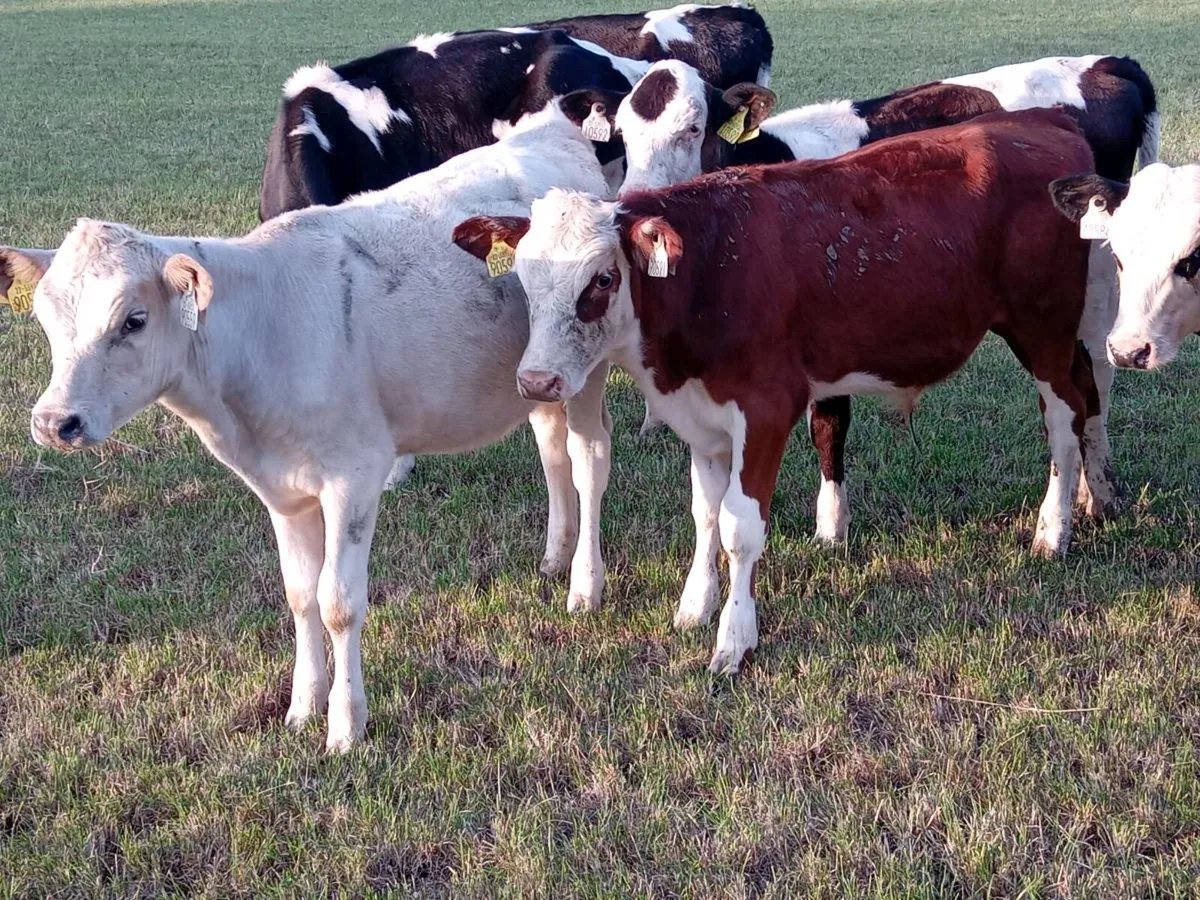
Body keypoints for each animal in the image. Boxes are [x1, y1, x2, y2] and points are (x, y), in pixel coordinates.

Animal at [1, 102, 614, 752]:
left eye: (133, 320)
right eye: (43, 318)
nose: (54, 421)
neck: (262, 338)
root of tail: (552, 127)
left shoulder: (355, 475)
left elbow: (337, 600)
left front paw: (345, 724)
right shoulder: (282, 491)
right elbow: (299, 595)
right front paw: (301, 705)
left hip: (588, 368)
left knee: (588, 461)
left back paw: (584, 583)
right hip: (539, 379)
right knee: (551, 451)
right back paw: (555, 554)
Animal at [453, 109, 1116, 674]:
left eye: (602, 279)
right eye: (523, 275)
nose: (537, 381)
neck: (709, 272)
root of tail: (1043, 121)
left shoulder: (767, 410)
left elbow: (739, 527)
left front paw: (733, 640)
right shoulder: (705, 420)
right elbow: (705, 513)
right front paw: (695, 606)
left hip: (1043, 328)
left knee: (1063, 419)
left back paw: (1053, 529)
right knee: (1089, 398)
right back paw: (1098, 494)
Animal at [607, 53, 1156, 538]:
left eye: (693, 129)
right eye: (624, 135)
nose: (635, 205)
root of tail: (1110, 63)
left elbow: (829, 421)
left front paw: (831, 527)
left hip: (1086, 293)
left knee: (1092, 382)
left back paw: (1089, 496)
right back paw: (1095, 494)